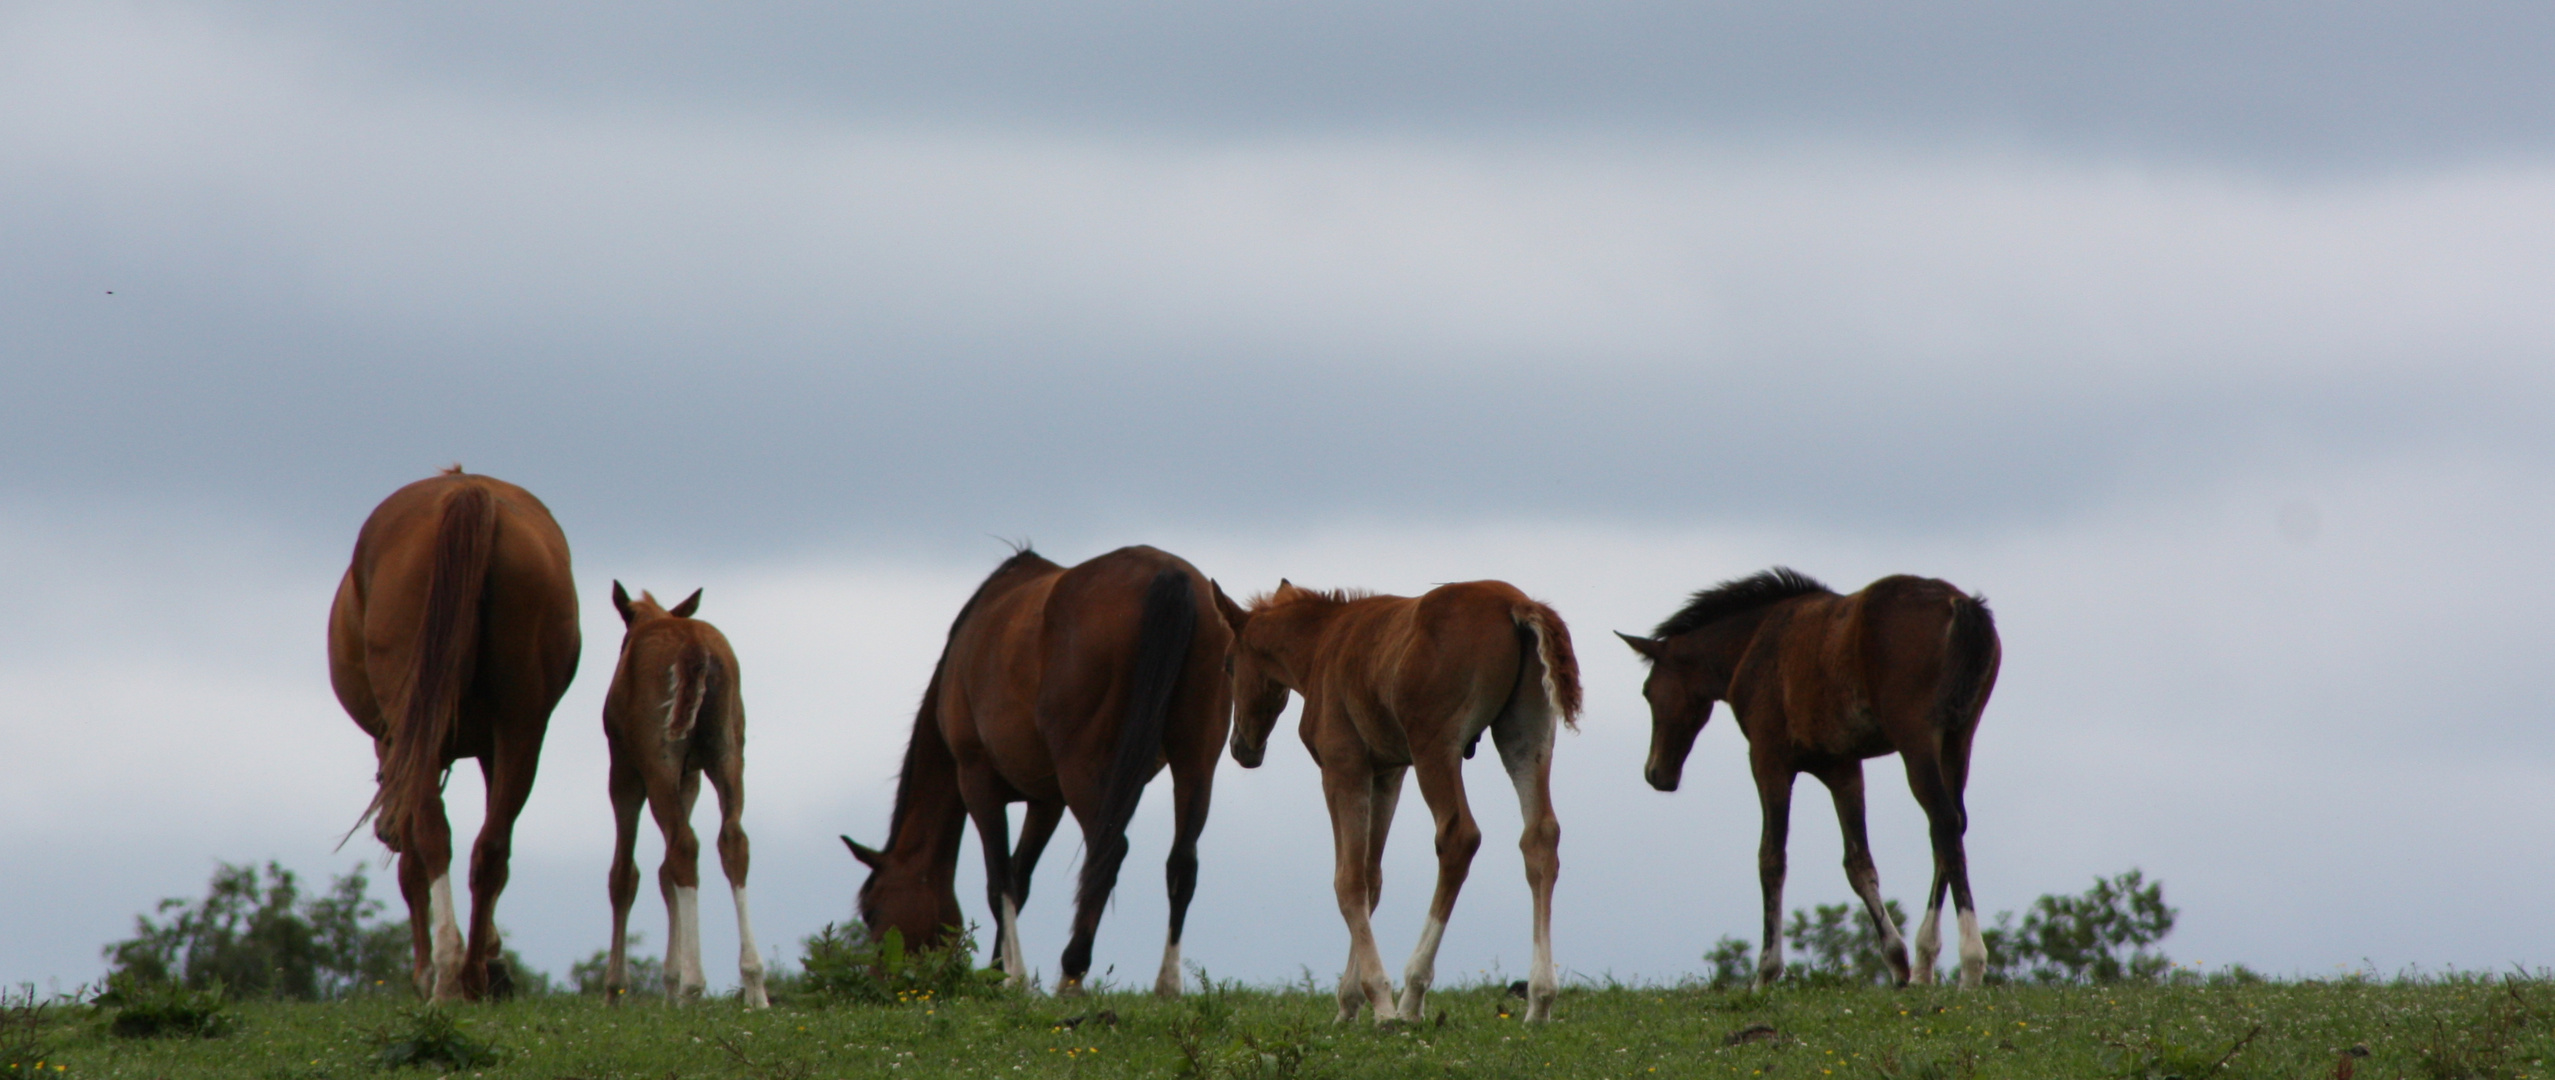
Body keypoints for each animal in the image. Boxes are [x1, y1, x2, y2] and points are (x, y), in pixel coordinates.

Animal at [327, 469, 582, 1000]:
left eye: (379, 781)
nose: (383, 831)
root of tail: (467, 492)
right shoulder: (493, 746)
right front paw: (491, 954)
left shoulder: (395, 742)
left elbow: (412, 866)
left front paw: (428, 968)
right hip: (522, 727)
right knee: (491, 845)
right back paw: (473, 974)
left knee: (432, 836)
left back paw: (444, 971)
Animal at [602, 587, 761, 1011]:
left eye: (623, 638)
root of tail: (694, 647)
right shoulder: (690, 775)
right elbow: (663, 872)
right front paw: (668, 985)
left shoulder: (624, 770)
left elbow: (624, 874)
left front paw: (615, 989)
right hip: (728, 754)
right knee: (731, 840)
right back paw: (755, 987)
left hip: (657, 760)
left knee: (684, 845)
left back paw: (693, 984)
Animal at [843, 548, 1231, 995]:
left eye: (872, 911)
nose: (879, 982)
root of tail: (1167, 573)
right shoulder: (1047, 802)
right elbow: (1020, 876)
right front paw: (999, 971)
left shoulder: (977, 780)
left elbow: (1000, 881)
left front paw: (1012, 977)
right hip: (1196, 760)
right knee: (1181, 862)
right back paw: (1167, 984)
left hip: (1084, 770)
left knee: (1107, 852)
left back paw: (1072, 974)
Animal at [1216, 584, 1573, 1021]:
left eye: (1229, 665)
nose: (1241, 748)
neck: (1324, 644)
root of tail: (1515, 604)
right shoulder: (1387, 773)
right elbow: (1372, 877)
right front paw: (1350, 1003)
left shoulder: (1343, 767)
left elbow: (1349, 878)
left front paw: (1379, 1000)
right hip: (1525, 736)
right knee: (1540, 837)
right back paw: (1540, 999)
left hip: (1434, 747)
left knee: (1459, 837)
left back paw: (1411, 996)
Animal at [1614, 571, 2013, 995]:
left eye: (1647, 692)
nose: (1656, 772)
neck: (1752, 643)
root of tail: (1959, 603)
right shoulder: (1843, 768)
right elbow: (1858, 864)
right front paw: (1896, 962)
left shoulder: (1768, 760)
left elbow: (1771, 858)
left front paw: (1765, 973)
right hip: (1958, 740)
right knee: (1953, 827)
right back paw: (1924, 962)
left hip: (1917, 739)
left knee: (1943, 821)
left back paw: (1971, 963)